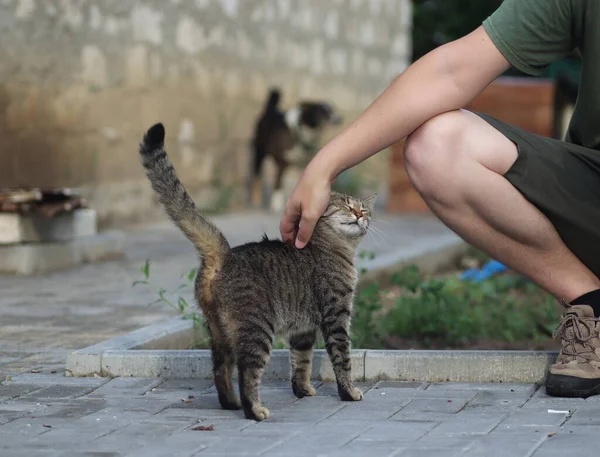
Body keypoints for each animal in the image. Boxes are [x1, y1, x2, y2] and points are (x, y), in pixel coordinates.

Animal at [139, 122, 376, 420]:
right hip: (257, 330)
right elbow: (342, 358)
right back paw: (254, 410)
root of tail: (225, 254)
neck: (334, 247)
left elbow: (301, 362)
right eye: (346, 205)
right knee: (247, 373)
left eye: (365, 209)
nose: (359, 215)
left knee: (221, 369)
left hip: (218, 331)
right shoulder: (336, 315)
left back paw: (231, 403)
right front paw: (349, 392)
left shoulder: (304, 330)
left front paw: (303, 390)